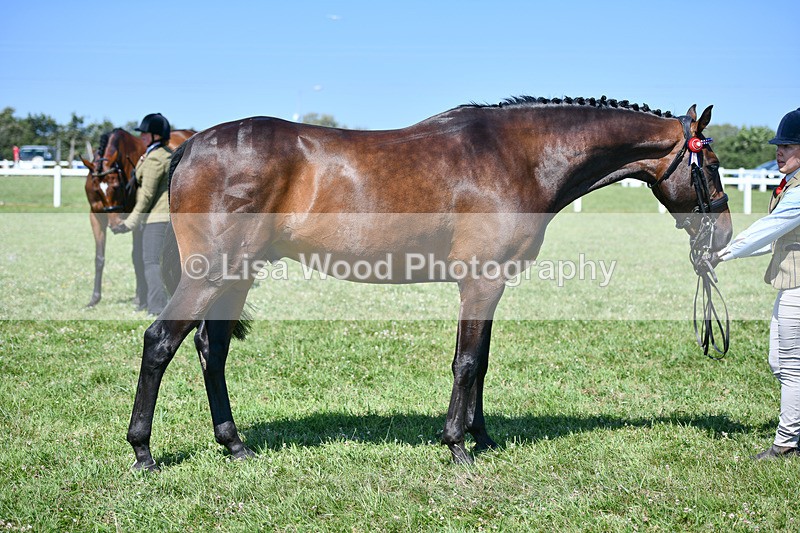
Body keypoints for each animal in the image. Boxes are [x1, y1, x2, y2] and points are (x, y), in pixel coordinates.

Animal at [125, 96, 733, 470]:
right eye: (712, 166)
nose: (724, 233)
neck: (517, 156)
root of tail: (192, 145)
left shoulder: (491, 285)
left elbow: (481, 362)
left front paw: (483, 437)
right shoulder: (480, 282)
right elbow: (467, 362)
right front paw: (457, 445)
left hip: (236, 276)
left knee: (211, 349)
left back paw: (235, 445)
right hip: (212, 274)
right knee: (160, 342)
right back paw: (143, 453)